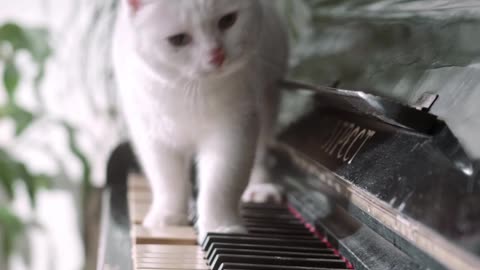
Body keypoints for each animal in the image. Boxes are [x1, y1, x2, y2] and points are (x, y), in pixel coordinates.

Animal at [112, 0, 288, 240]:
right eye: (178, 40)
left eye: (228, 20)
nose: (217, 54)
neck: (190, 91)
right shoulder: (151, 136)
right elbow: (167, 181)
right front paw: (168, 217)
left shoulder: (234, 129)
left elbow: (221, 184)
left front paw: (221, 227)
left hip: (269, 99)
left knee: (261, 153)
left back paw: (260, 187)